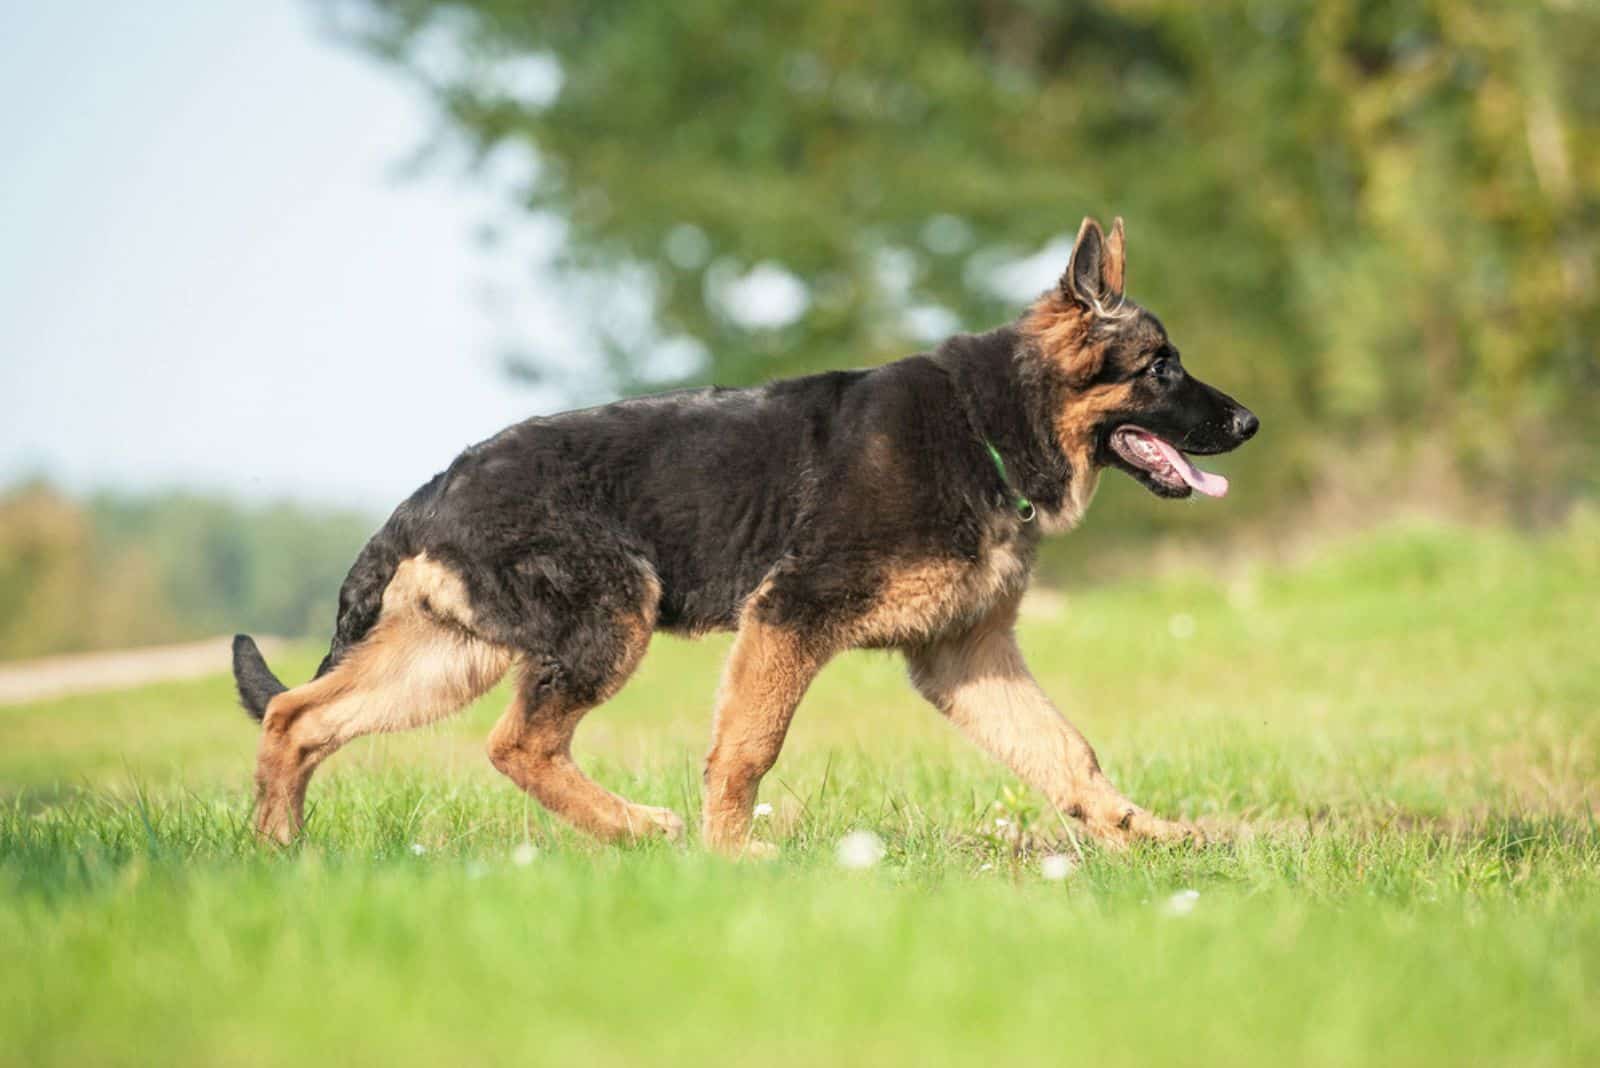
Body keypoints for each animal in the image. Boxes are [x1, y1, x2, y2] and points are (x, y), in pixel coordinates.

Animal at [233, 217, 1260, 850]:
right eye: (1163, 368)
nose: (1250, 424)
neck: (988, 425)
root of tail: (435, 487)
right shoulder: (789, 619)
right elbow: (747, 750)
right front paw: (732, 859)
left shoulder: (966, 657)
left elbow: (1067, 753)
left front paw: (1151, 840)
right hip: (608, 619)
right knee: (515, 745)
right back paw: (639, 830)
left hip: (450, 657)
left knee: (299, 718)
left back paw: (280, 853)